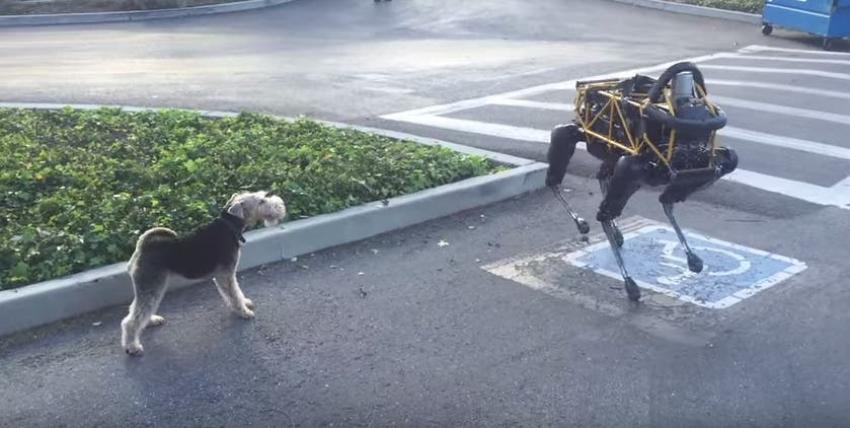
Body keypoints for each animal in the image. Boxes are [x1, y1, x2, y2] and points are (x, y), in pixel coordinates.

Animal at [120, 192, 284, 356]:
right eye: (261, 201)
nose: (281, 206)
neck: (228, 226)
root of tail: (141, 247)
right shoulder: (225, 275)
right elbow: (234, 295)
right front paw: (244, 312)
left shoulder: (227, 275)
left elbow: (236, 292)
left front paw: (245, 303)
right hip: (151, 285)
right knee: (131, 320)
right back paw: (132, 346)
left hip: (148, 286)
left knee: (136, 310)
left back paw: (152, 321)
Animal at [544, 62, 736, 300]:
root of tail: (587, 87)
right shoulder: (633, 167)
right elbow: (609, 210)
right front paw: (629, 281)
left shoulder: (689, 173)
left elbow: (668, 202)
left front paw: (692, 258)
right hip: (586, 139)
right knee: (559, 164)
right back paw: (582, 221)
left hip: (612, 155)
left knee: (602, 176)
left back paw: (615, 231)